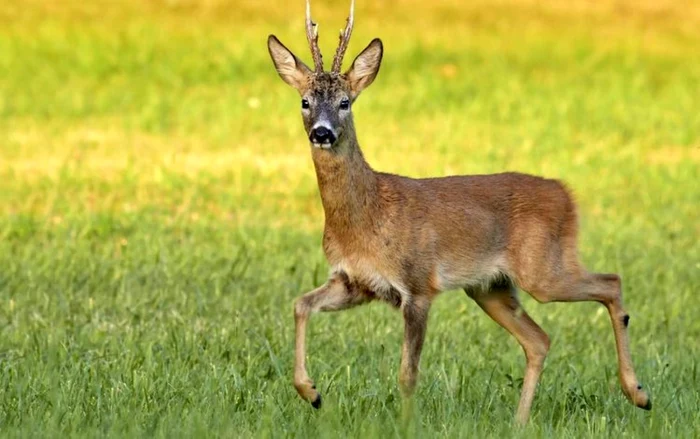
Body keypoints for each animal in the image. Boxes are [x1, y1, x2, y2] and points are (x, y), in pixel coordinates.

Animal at [266, 0, 652, 426]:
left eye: (345, 102)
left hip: (543, 270)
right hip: (489, 287)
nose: (322, 132)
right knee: (539, 339)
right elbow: (300, 304)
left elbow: (408, 373)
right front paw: (312, 393)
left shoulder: (418, 284)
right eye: (304, 101)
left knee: (611, 282)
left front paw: (405, 426)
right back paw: (520, 423)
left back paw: (638, 393)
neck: (367, 215)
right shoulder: (354, 282)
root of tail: (566, 193)